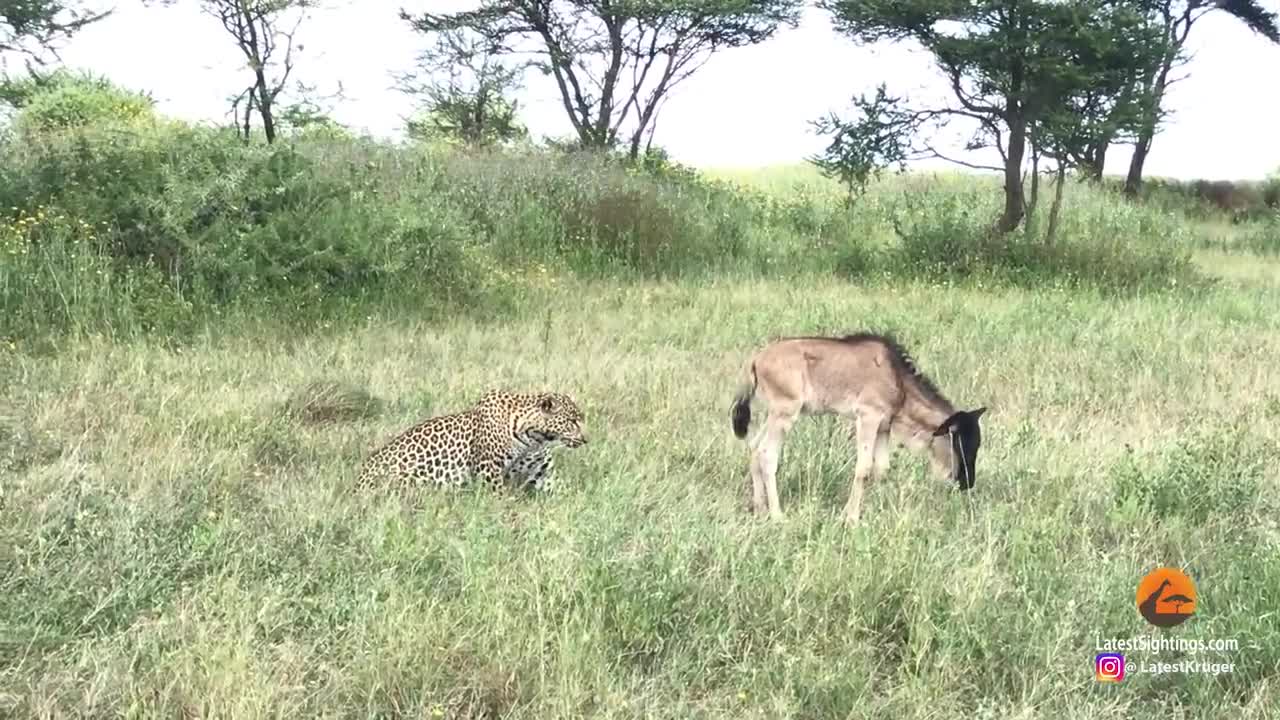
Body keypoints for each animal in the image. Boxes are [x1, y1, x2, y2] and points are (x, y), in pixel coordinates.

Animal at [356, 389, 587, 492]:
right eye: (572, 421)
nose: (586, 439)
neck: (534, 439)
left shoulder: (542, 473)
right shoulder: (488, 469)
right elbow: (500, 495)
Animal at [730, 333, 987, 524]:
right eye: (960, 441)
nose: (967, 483)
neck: (897, 379)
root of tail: (756, 359)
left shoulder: (884, 426)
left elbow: (881, 469)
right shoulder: (867, 417)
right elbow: (863, 468)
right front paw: (851, 516)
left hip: (774, 414)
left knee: (754, 447)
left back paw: (760, 509)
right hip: (785, 413)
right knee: (767, 454)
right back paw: (777, 514)